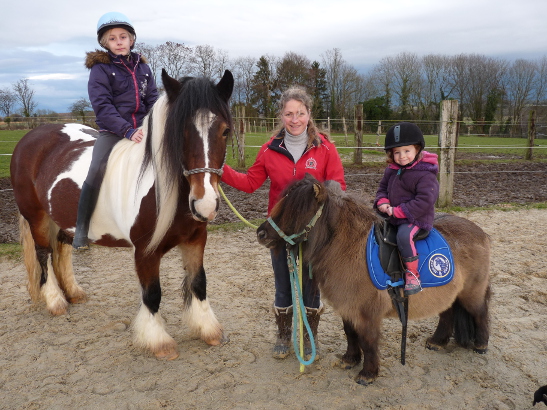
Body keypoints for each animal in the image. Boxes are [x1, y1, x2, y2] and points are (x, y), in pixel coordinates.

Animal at [10, 69, 233, 360]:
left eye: (225, 131)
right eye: (179, 132)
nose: (205, 205)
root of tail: (30, 137)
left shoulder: (195, 240)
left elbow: (199, 283)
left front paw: (208, 330)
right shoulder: (145, 251)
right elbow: (152, 294)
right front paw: (158, 341)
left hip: (63, 221)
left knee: (62, 253)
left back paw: (73, 292)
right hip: (37, 217)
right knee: (44, 255)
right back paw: (55, 301)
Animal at [256, 175, 492, 384]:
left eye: (296, 210)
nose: (261, 234)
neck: (349, 248)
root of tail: (480, 233)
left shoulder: (367, 313)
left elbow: (368, 340)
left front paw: (368, 374)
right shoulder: (348, 307)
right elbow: (350, 333)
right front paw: (349, 360)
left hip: (472, 292)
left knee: (480, 312)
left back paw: (481, 345)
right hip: (449, 292)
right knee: (448, 313)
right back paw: (437, 342)